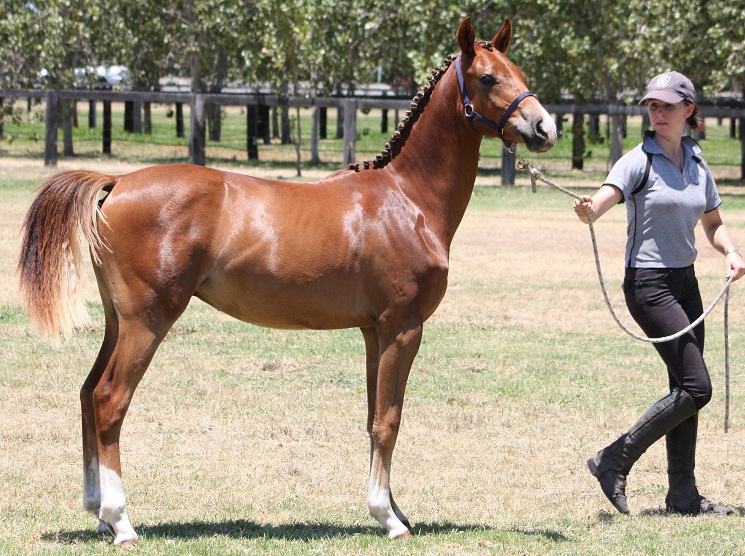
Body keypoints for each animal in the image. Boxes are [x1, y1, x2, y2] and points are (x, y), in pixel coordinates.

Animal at [17, 18, 556, 548]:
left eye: (520, 71)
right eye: (487, 77)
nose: (544, 127)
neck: (407, 199)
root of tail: (117, 183)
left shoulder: (374, 332)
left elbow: (373, 416)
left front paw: (394, 508)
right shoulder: (403, 327)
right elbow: (389, 420)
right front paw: (388, 518)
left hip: (117, 321)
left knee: (87, 394)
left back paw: (98, 514)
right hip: (147, 321)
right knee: (109, 401)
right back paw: (121, 521)